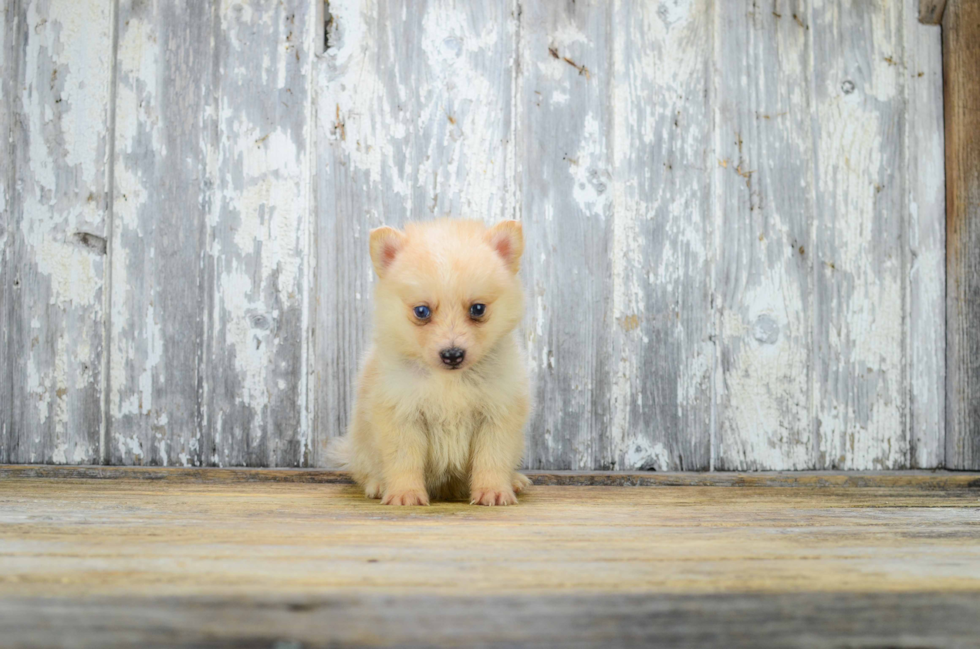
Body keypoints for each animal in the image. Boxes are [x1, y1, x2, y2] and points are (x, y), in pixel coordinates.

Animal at [328, 220, 528, 504]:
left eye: (478, 309)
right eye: (421, 311)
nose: (452, 354)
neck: (449, 381)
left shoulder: (497, 415)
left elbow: (492, 458)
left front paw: (493, 490)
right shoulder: (402, 416)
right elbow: (404, 461)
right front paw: (405, 494)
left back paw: (515, 480)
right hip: (360, 447)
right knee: (365, 470)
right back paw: (377, 485)